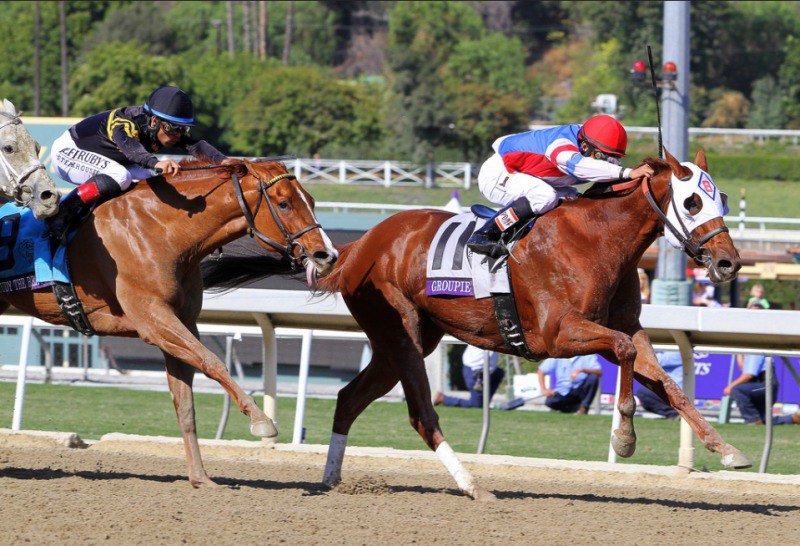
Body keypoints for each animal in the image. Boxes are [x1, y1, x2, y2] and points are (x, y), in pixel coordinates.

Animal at [0, 157, 338, 484]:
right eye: (284, 203)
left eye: (311, 200)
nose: (327, 255)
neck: (162, 230)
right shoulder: (153, 320)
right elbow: (213, 362)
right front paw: (262, 421)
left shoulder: (181, 323)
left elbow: (186, 402)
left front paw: (200, 478)